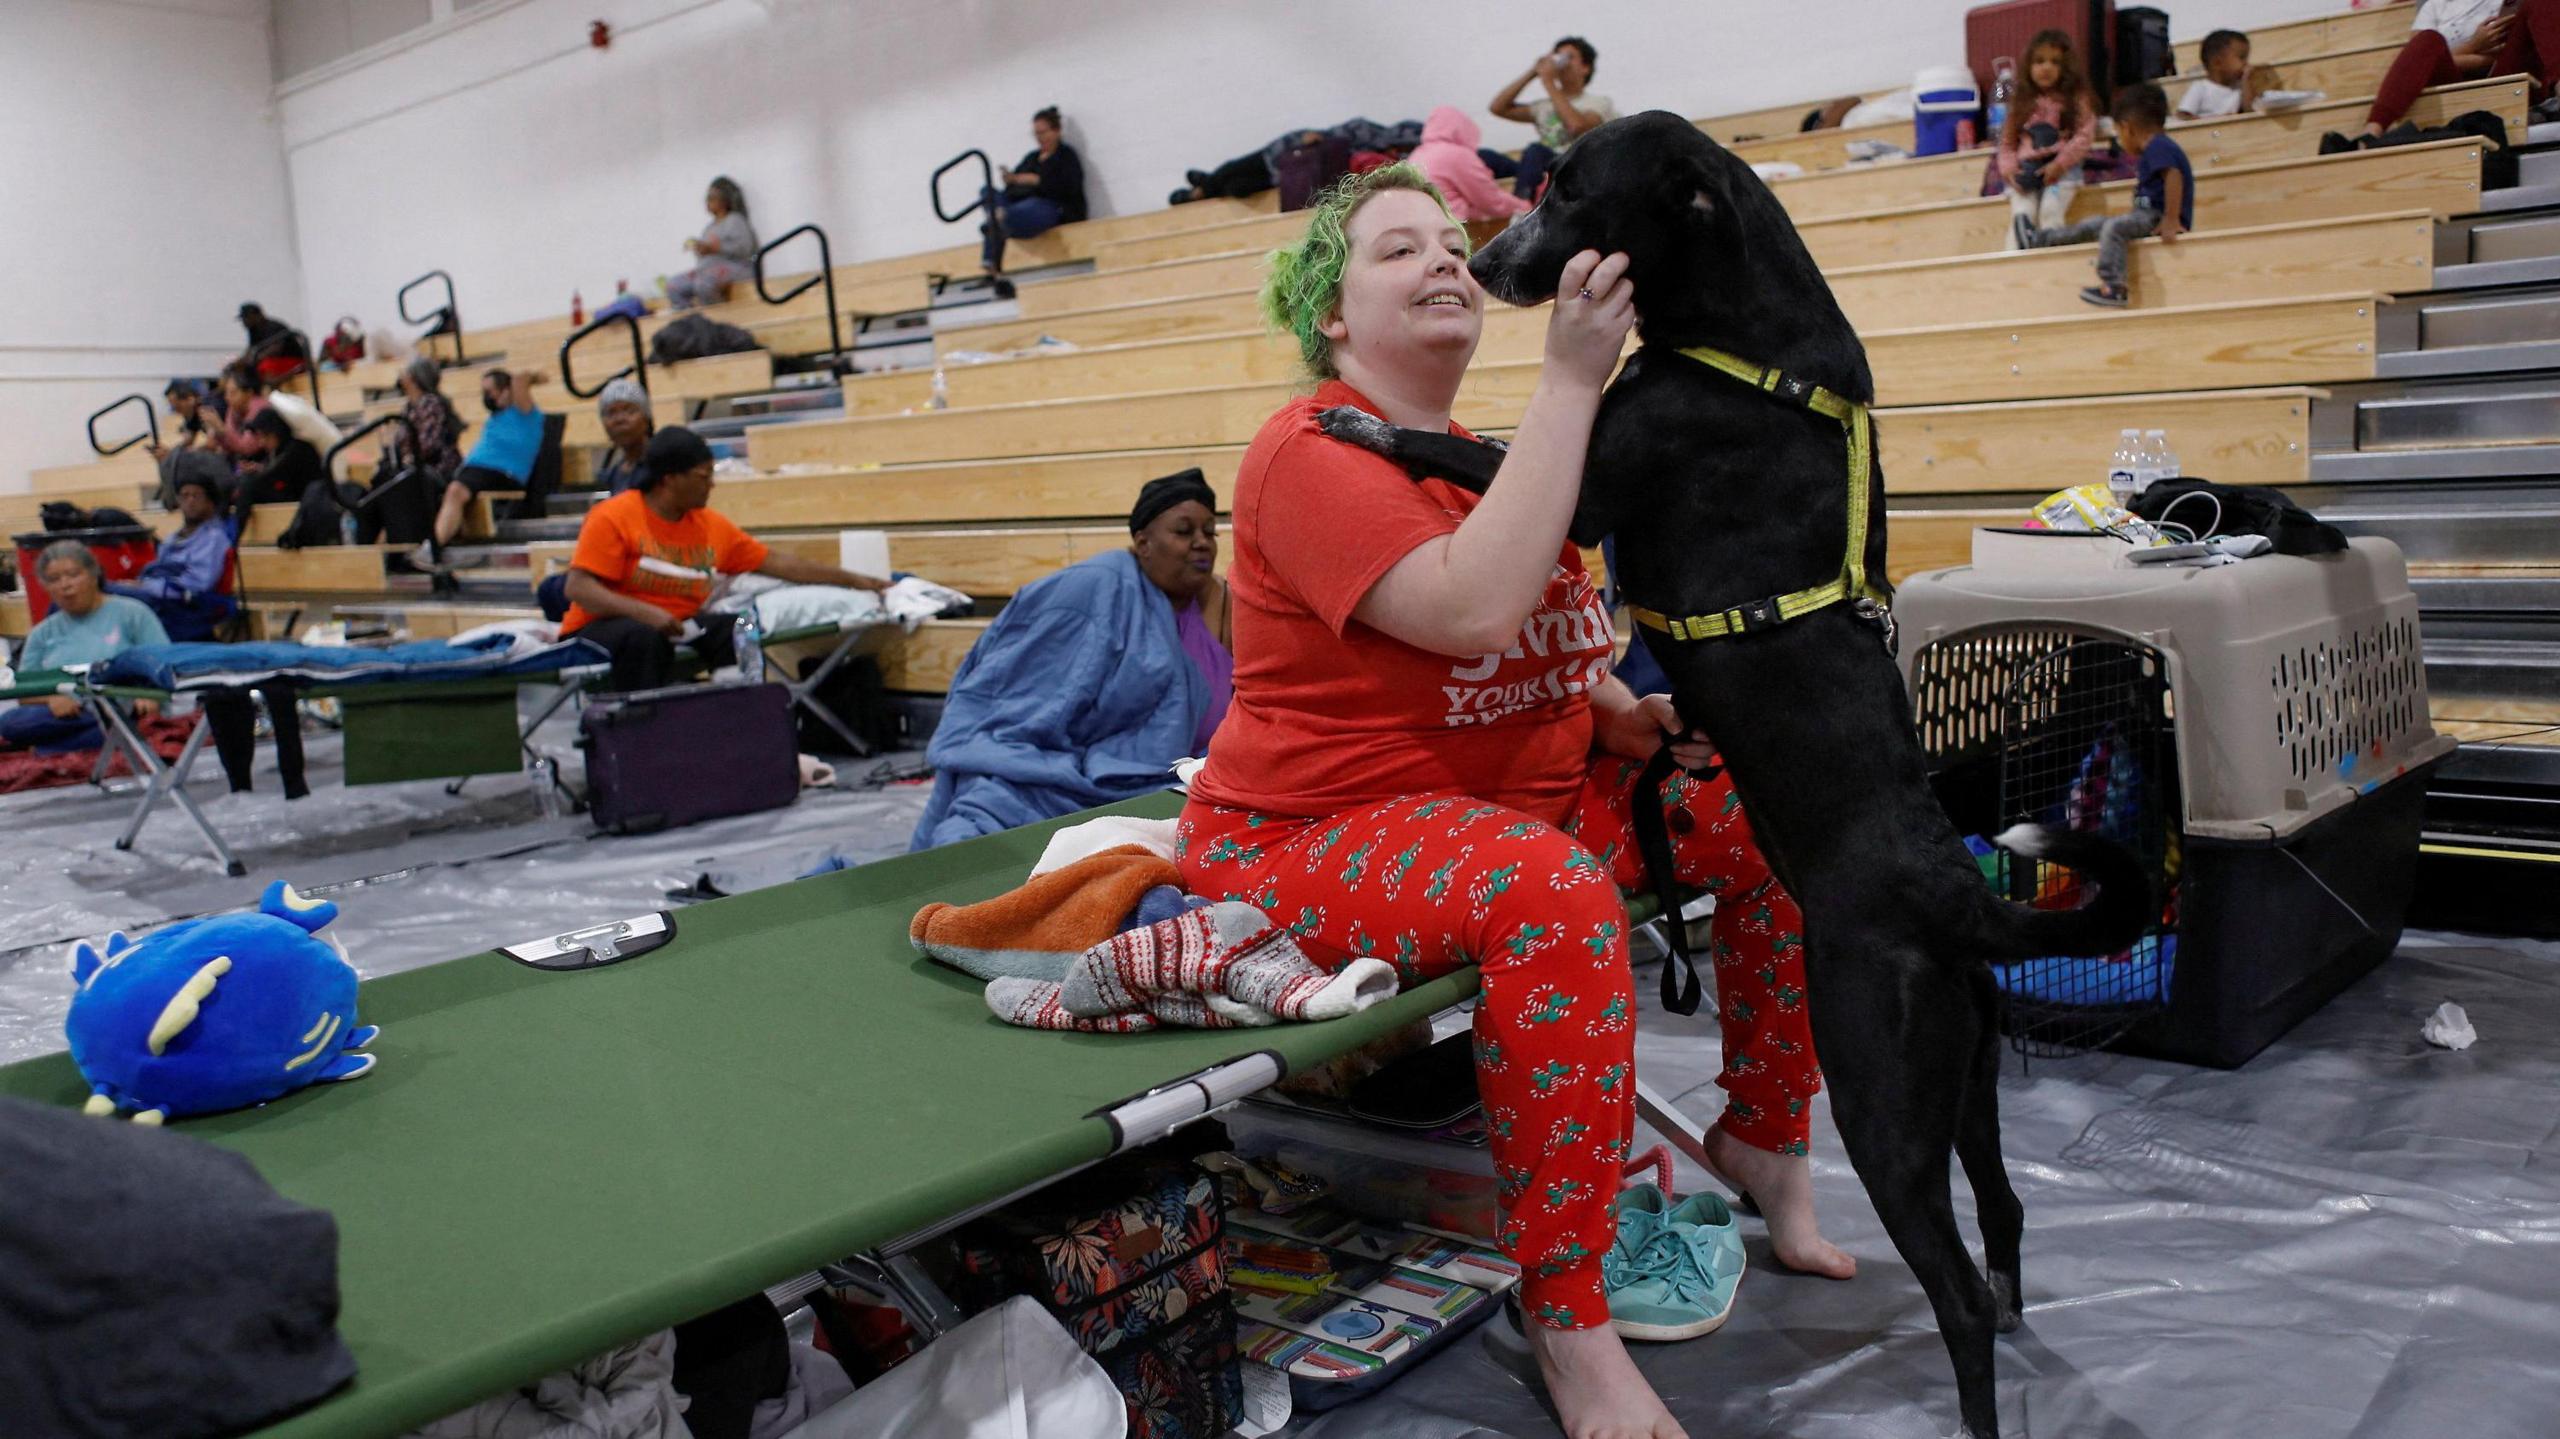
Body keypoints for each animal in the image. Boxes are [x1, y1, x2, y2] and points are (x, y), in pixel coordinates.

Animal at [1331, 114, 2150, 1433]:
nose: (1488, 262)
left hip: (1879, 1089)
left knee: (1957, 1291)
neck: (1746, 334)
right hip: (1967, 1080)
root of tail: (1956, 894)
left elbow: (1457, 440)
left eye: (1566, 188)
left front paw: (1358, 427)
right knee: (2006, 1211)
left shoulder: (1585, 492)